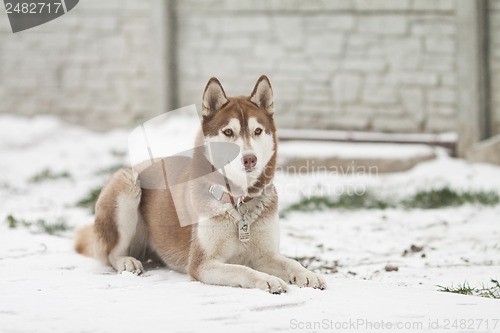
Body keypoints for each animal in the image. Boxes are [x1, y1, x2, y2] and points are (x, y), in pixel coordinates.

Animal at [73, 75, 324, 294]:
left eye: (258, 131)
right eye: (228, 132)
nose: (250, 159)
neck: (237, 202)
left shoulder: (266, 255)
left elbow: (290, 262)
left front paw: (307, 274)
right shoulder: (202, 263)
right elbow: (242, 270)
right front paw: (267, 280)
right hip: (127, 185)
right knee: (110, 253)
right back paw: (127, 261)